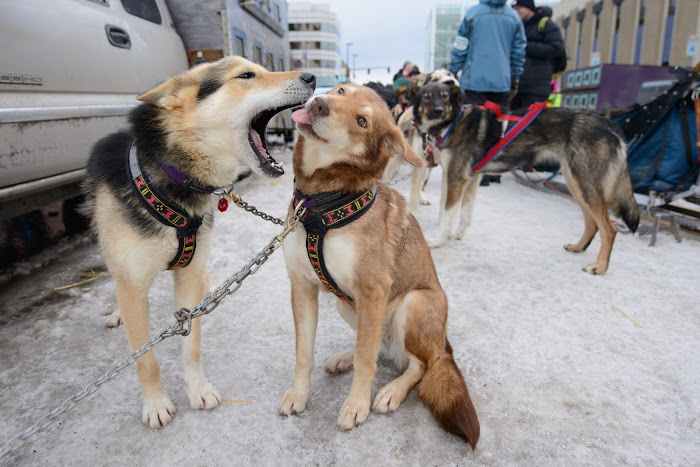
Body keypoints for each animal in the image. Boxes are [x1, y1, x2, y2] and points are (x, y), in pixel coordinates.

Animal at [80, 55, 318, 428]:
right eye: (246, 75)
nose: (311, 76)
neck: (172, 178)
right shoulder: (133, 285)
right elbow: (145, 358)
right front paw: (156, 402)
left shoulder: (189, 274)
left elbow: (191, 345)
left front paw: (198, 389)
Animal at [278, 84, 482, 450]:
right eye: (341, 90)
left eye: (362, 122)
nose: (319, 104)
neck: (321, 204)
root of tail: (443, 344)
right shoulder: (302, 287)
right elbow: (304, 353)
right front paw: (299, 395)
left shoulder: (373, 290)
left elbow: (365, 361)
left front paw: (356, 405)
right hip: (347, 304)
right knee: (378, 346)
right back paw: (344, 356)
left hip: (413, 303)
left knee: (417, 365)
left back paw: (392, 392)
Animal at [416, 81, 640, 274]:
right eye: (427, 97)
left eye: (444, 96)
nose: (439, 111)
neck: (452, 122)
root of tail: (609, 125)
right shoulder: (470, 179)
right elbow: (465, 212)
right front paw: (456, 234)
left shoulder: (456, 177)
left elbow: (447, 213)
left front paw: (438, 240)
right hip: (576, 184)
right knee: (592, 224)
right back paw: (578, 247)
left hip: (586, 185)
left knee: (609, 229)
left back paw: (600, 266)